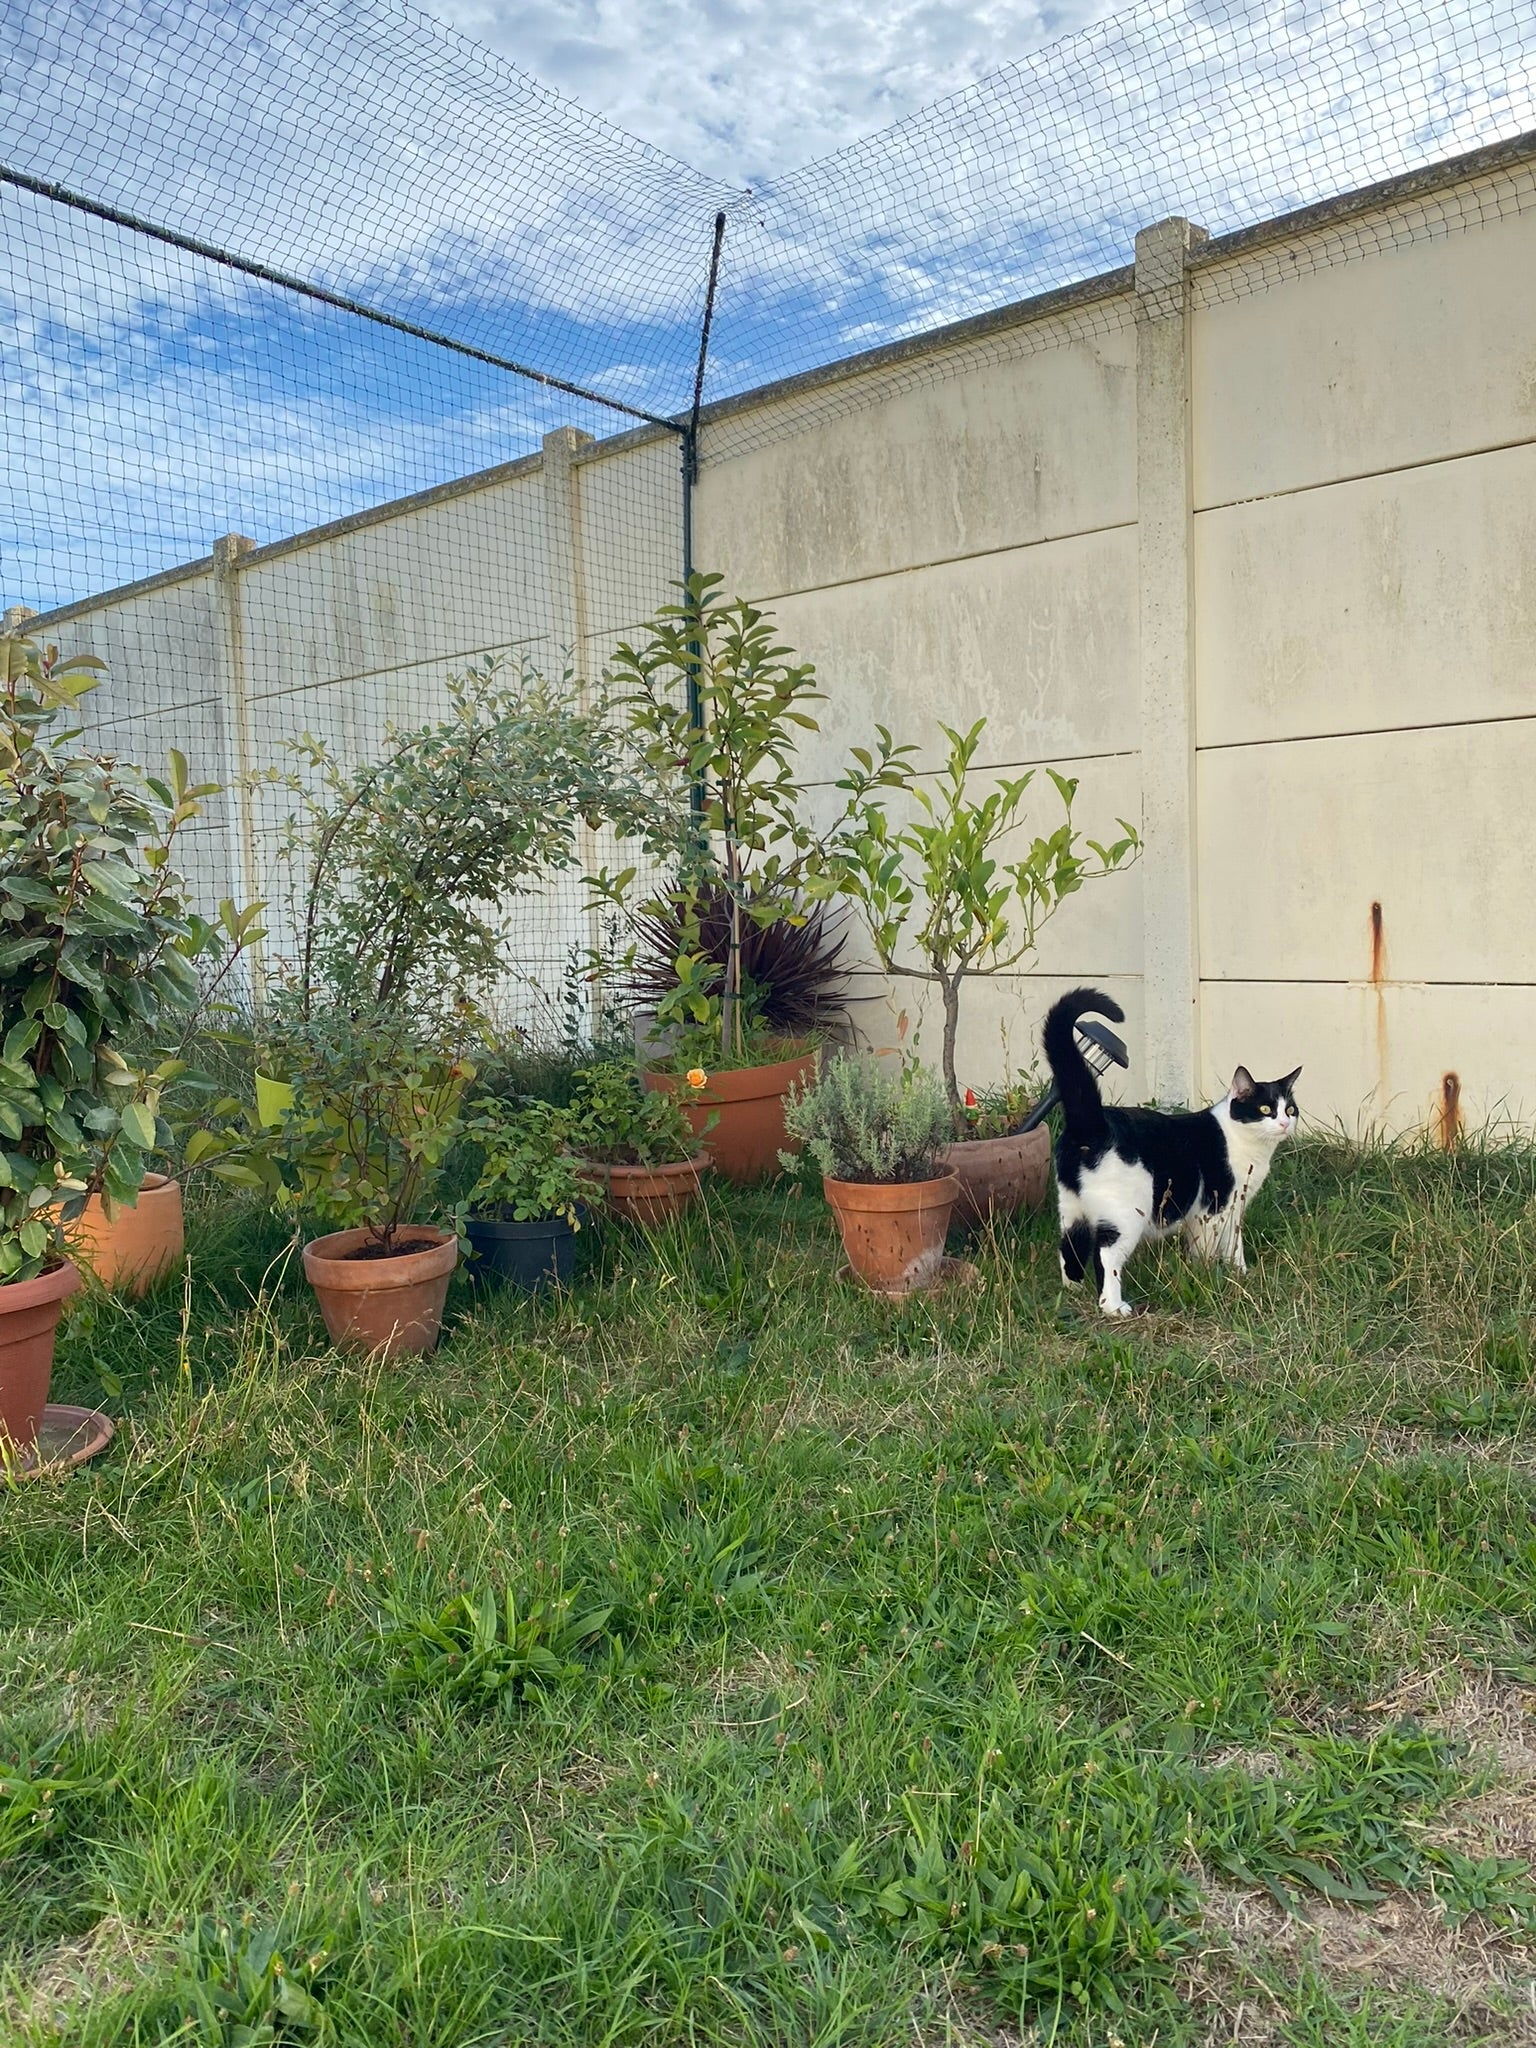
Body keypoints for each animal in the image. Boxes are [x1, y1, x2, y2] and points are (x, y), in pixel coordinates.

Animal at [1048, 987, 1302, 1310]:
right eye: (1266, 1109)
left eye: (1290, 1109)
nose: (1284, 1123)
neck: (1248, 1147)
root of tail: (1093, 1124)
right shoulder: (1215, 1205)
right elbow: (1210, 1245)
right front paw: (1209, 1275)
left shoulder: (1232, 1208)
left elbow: (1234, 1242)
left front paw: (1239, 1273)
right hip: (1126, 1214)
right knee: (1105, 1254)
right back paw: (1114, 1307)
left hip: (1072, 1207)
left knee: (1070, 1245)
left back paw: (1074, 1291)